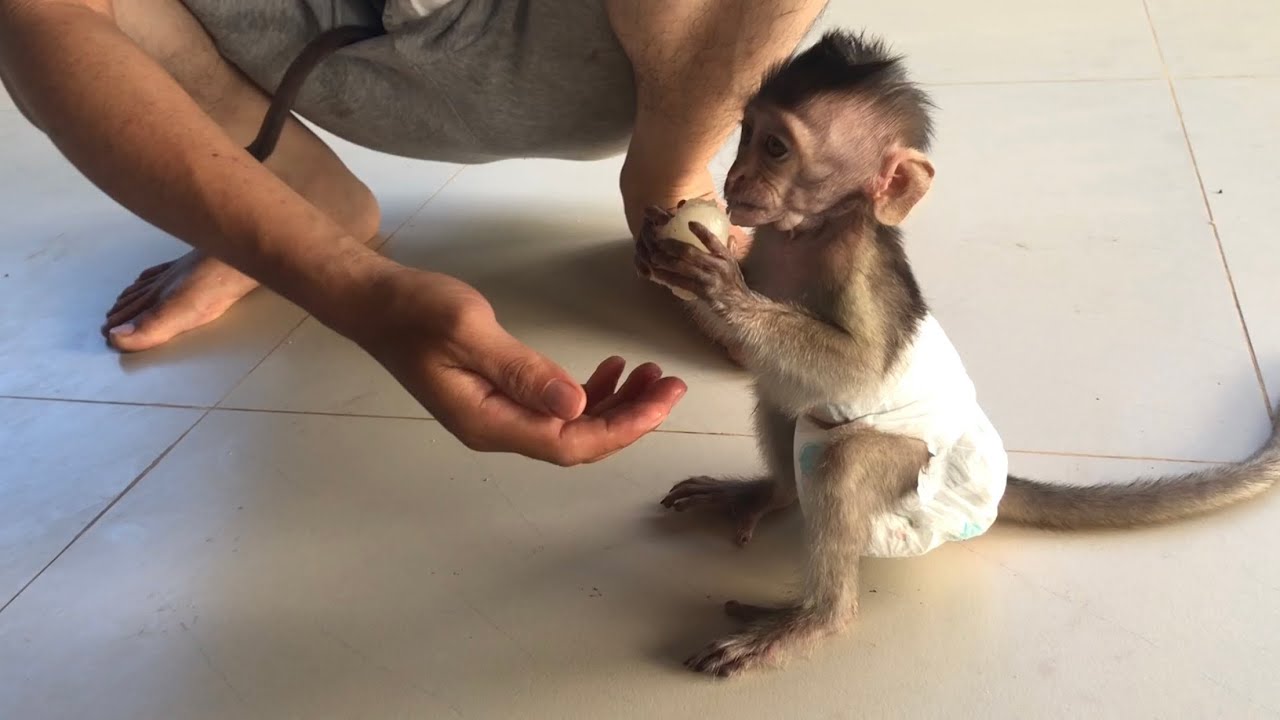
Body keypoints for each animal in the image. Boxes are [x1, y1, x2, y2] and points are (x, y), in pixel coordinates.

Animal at [634, 30, 1280, 678]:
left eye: (775, 148)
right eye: (746, 134)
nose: (736, 175)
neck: (811, 232)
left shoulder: (858, 267)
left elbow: (862, 365)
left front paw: (721, 287)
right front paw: (657, 252)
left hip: (916, 476)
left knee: (842, 460)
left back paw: (816, 619)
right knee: (780, 398)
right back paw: (772, 494)